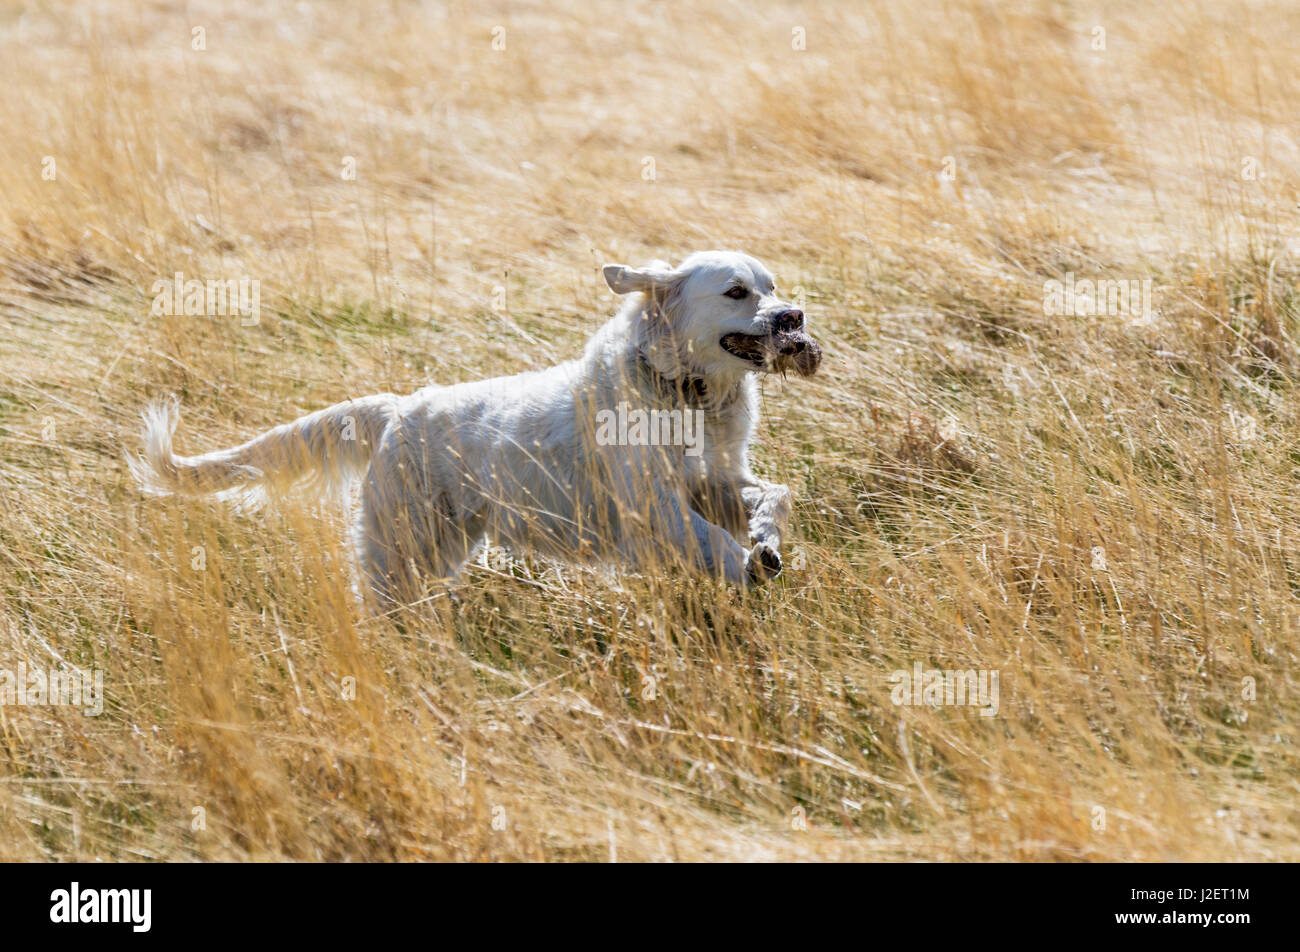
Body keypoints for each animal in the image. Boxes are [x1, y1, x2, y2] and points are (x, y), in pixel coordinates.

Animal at [131, 249, 821, 606]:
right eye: (736, 292)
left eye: (772, 286)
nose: (793, 316)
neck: (688, 393)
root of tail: (398, 408)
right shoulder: (651, 507)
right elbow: (710, 541)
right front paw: (747, 565)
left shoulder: (715, 479)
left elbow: (774, 495)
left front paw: (767, 544)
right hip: (400, 549)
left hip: (444, 543)